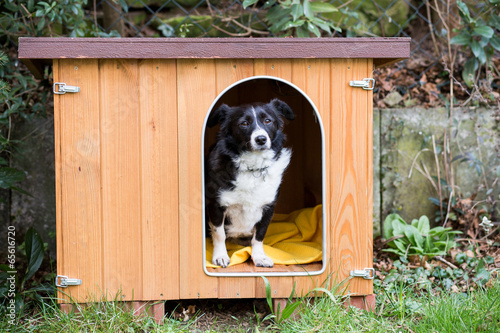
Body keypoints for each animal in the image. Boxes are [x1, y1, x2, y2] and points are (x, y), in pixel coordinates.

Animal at [205, 98, 294, 268]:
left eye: (268, 121)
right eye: (244, 123)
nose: (261, 139)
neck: (253, 167)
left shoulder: (268, 208)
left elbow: (259, 235)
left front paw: (259, 257)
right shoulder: (216, 205)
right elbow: (219, 234)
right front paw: (220, 256)